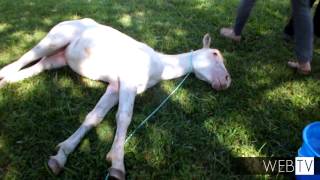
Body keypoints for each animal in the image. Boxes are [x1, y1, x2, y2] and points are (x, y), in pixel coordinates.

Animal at [0, 17, 231, 179]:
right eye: (215, 54)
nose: (226, 81)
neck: (156, 64)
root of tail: (69, 20)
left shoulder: (115, 87)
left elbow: (94, 117)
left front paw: (60, 157)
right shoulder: (127, 82)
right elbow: (124, 117)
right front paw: (117, 166)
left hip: (59, 57)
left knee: (39, 65)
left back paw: (6, 82)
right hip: (55, 40)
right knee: (22, 59)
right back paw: (4, 77)